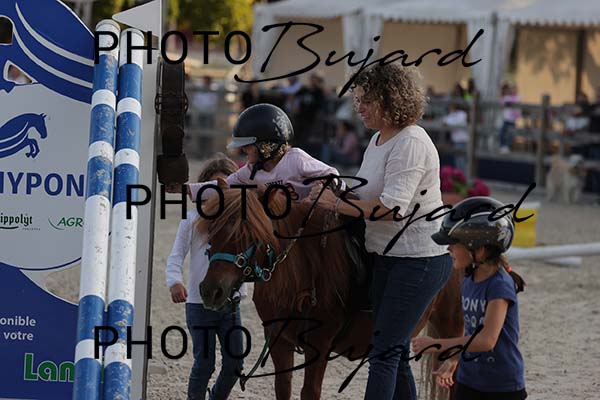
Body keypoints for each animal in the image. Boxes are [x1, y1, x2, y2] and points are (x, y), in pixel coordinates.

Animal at [198, 188, 463, 399]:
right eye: (213, 231)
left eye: (250, 236)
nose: (211, 290)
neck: (300, 274)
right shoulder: (278, 341)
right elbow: (283, 388)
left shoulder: (320, 344)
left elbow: (310, 392)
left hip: (451, 326)